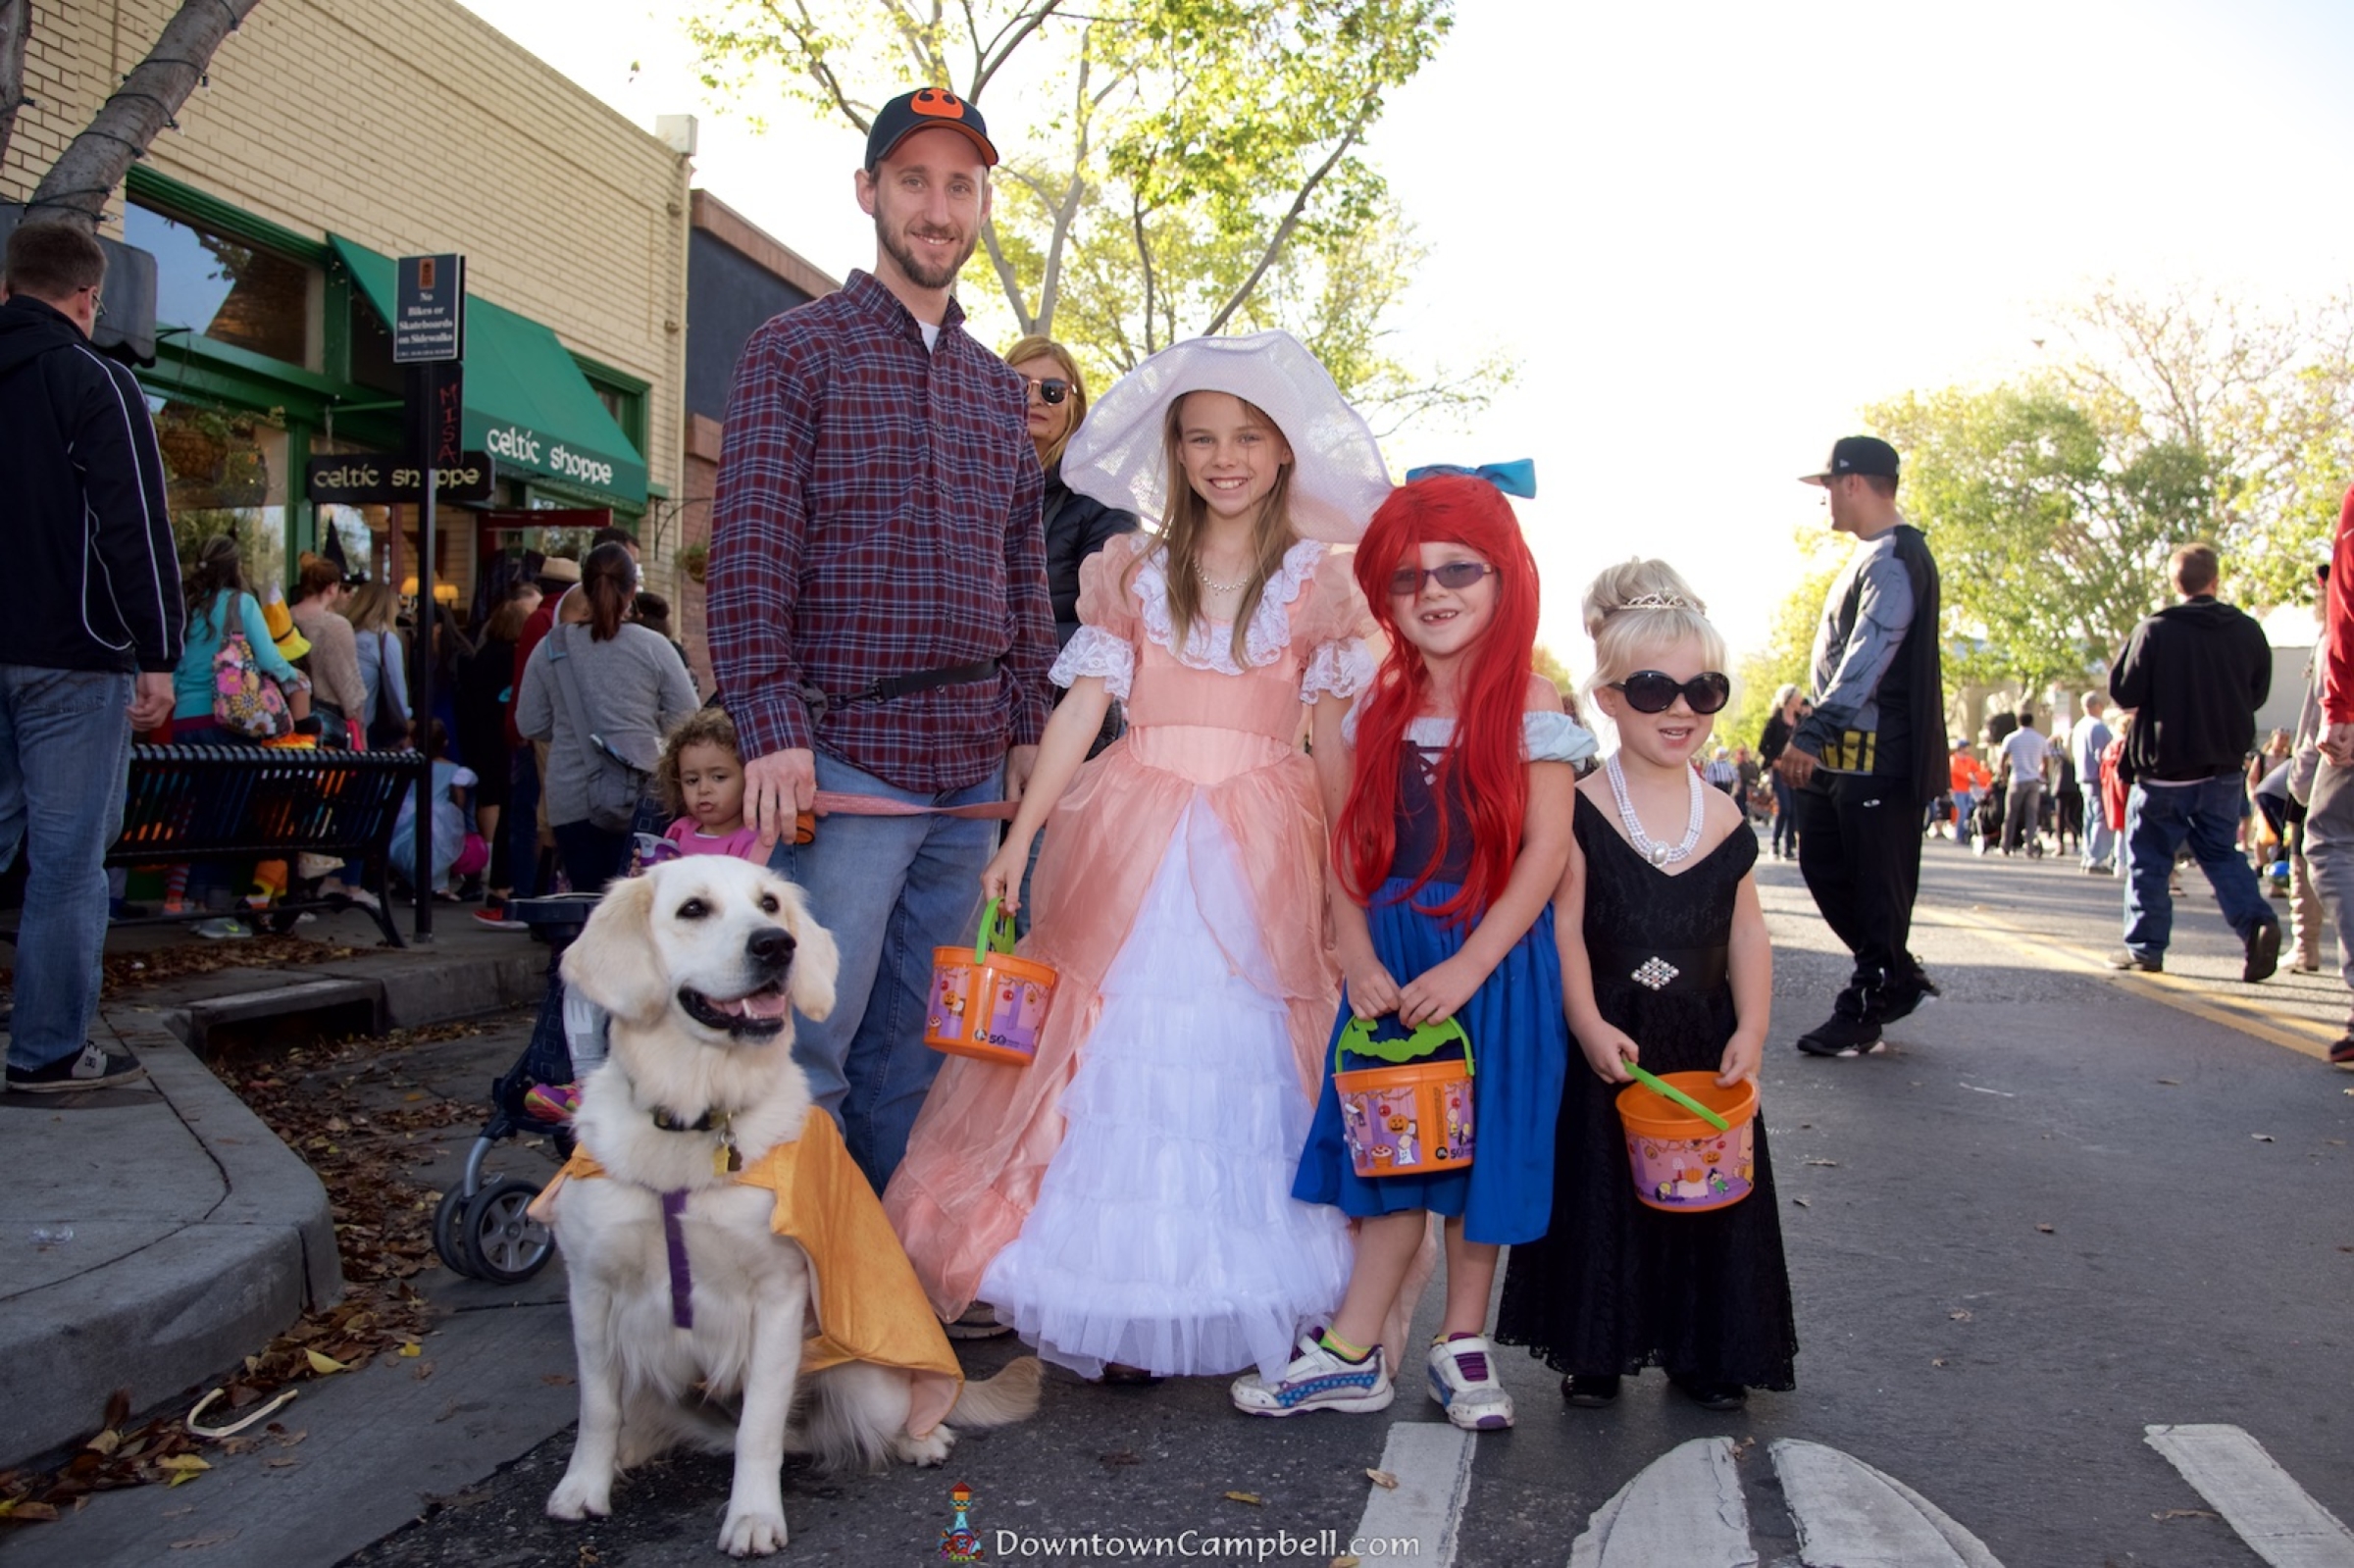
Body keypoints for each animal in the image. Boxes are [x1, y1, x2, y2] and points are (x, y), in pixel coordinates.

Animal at [533, 857, 1042, 1556]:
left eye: (770, 904)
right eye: (693, 909)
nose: (776, 945)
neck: (697, 1123)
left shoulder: (775, 1298)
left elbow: (759, 1427)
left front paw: (752, 1517)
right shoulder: (591, 1289)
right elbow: (597, 1405)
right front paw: (583, 1487)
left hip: (871, 1381)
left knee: (887, 1412)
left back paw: (923, 1436)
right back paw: (629, 1451)